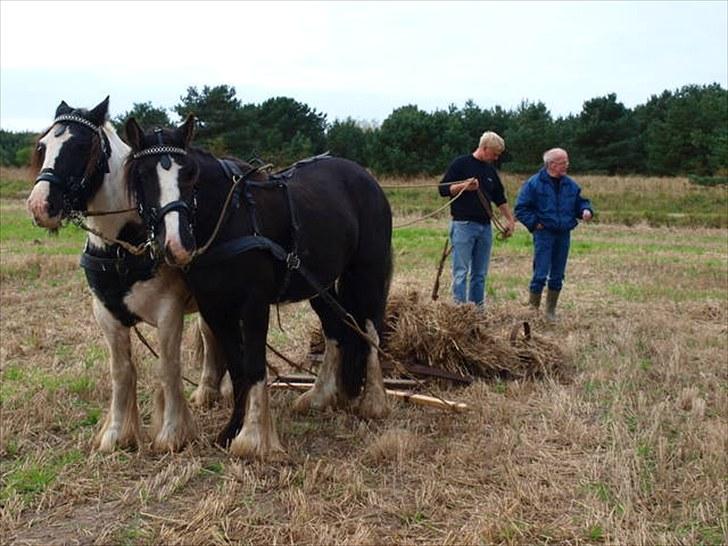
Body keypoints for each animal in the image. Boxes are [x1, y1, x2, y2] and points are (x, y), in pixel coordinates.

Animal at [123, 116, 392, 460]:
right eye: (143, 175)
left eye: (190, 174)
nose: (177, 245)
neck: (228, 219)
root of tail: (365, 177)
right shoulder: (215, 308)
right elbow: (238, 369)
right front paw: (231, 430)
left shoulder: (254, 304)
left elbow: (253, 366)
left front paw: (253, 439)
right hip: (318, 284)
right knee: (336, 328)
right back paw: (319, 397)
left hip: (368, 273)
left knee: (369, 330)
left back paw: (374, 402)